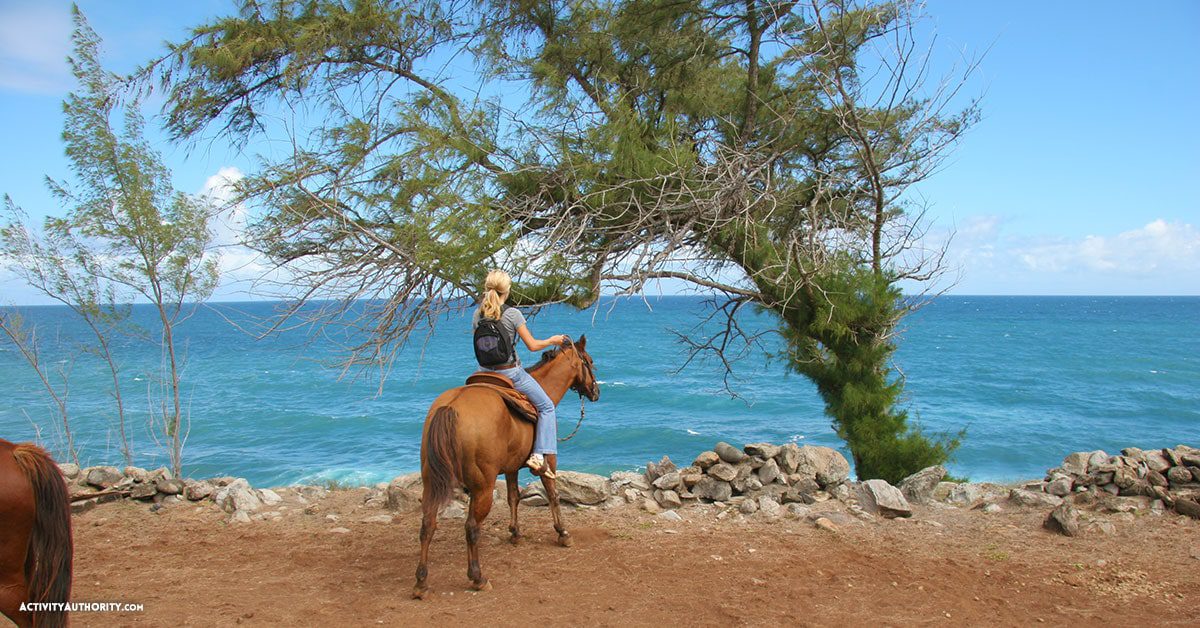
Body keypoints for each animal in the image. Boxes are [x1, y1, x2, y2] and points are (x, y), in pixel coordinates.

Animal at [413, 335, 599, 598]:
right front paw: (563, 533)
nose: (596, 392)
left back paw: (421, 582)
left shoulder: (511, 468)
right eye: (590, 362)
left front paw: (516, 533)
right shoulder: (549, 461)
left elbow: (513, 497)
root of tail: (449, 408)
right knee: (471, 528)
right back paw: (478, 577)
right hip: (483, 487)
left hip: (432, 482)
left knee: (427, 525)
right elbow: (553, 495)